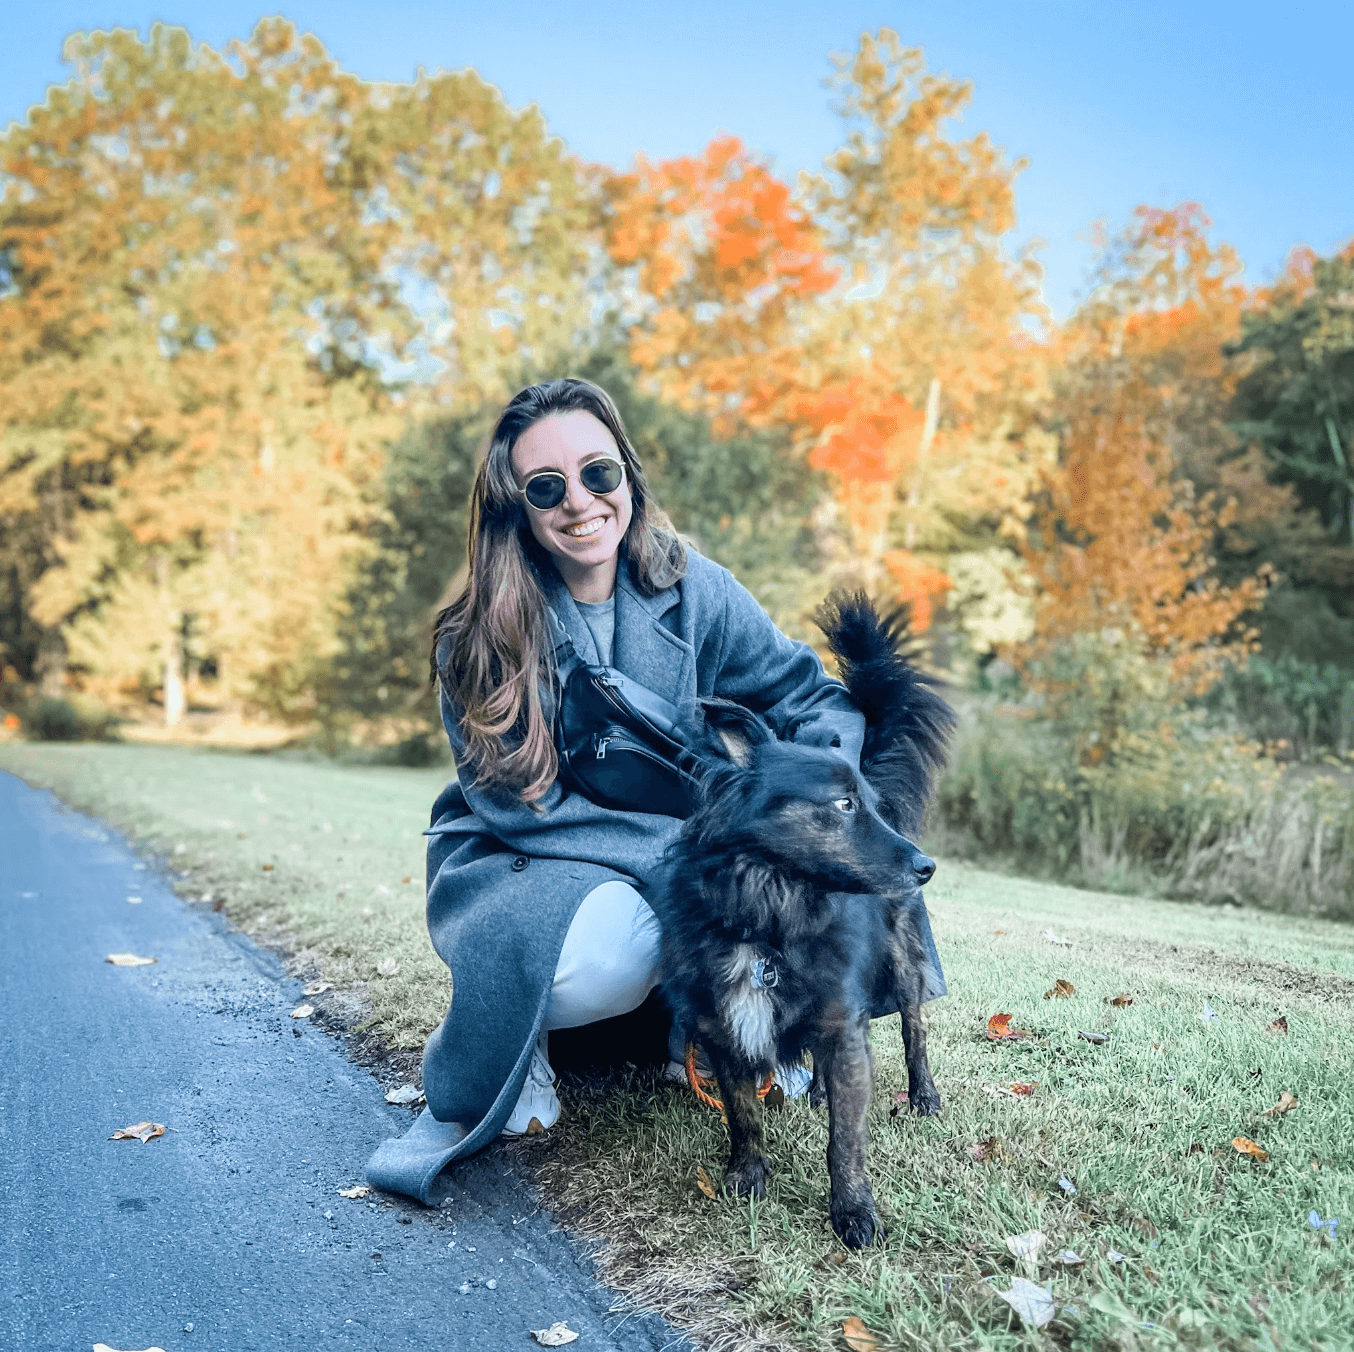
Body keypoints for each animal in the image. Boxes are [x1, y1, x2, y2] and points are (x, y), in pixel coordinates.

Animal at [647, 592, 953, 1245]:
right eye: (843, 805)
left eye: (870, 806)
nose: (926, 866)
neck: (771, 916)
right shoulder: (724, 1028)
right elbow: (743, 1115)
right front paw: (746, 1176)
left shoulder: (844, 1028)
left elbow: (847, 1141)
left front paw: (853, 1212)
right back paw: (813, 1092)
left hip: (904, 966)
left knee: (914, 1031)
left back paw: (923, 1096)